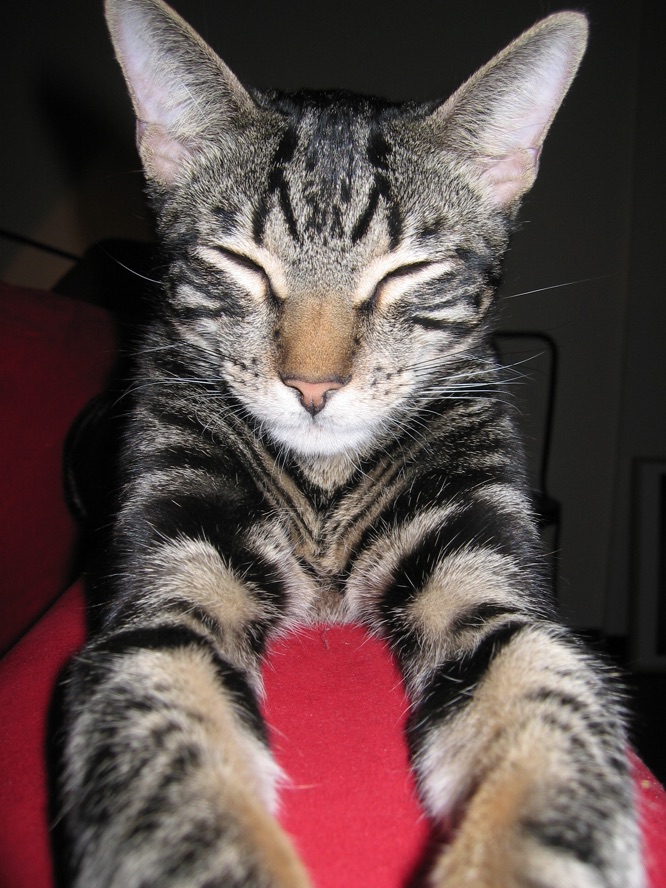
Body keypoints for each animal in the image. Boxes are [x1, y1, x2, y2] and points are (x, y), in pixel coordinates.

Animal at [59, 1, 640, 888]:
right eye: (241, 261)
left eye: (406, 272)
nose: (312, 386)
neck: (324, 481)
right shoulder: (169, 585)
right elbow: (171, 766)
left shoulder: (487, 577)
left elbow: (546, 697)